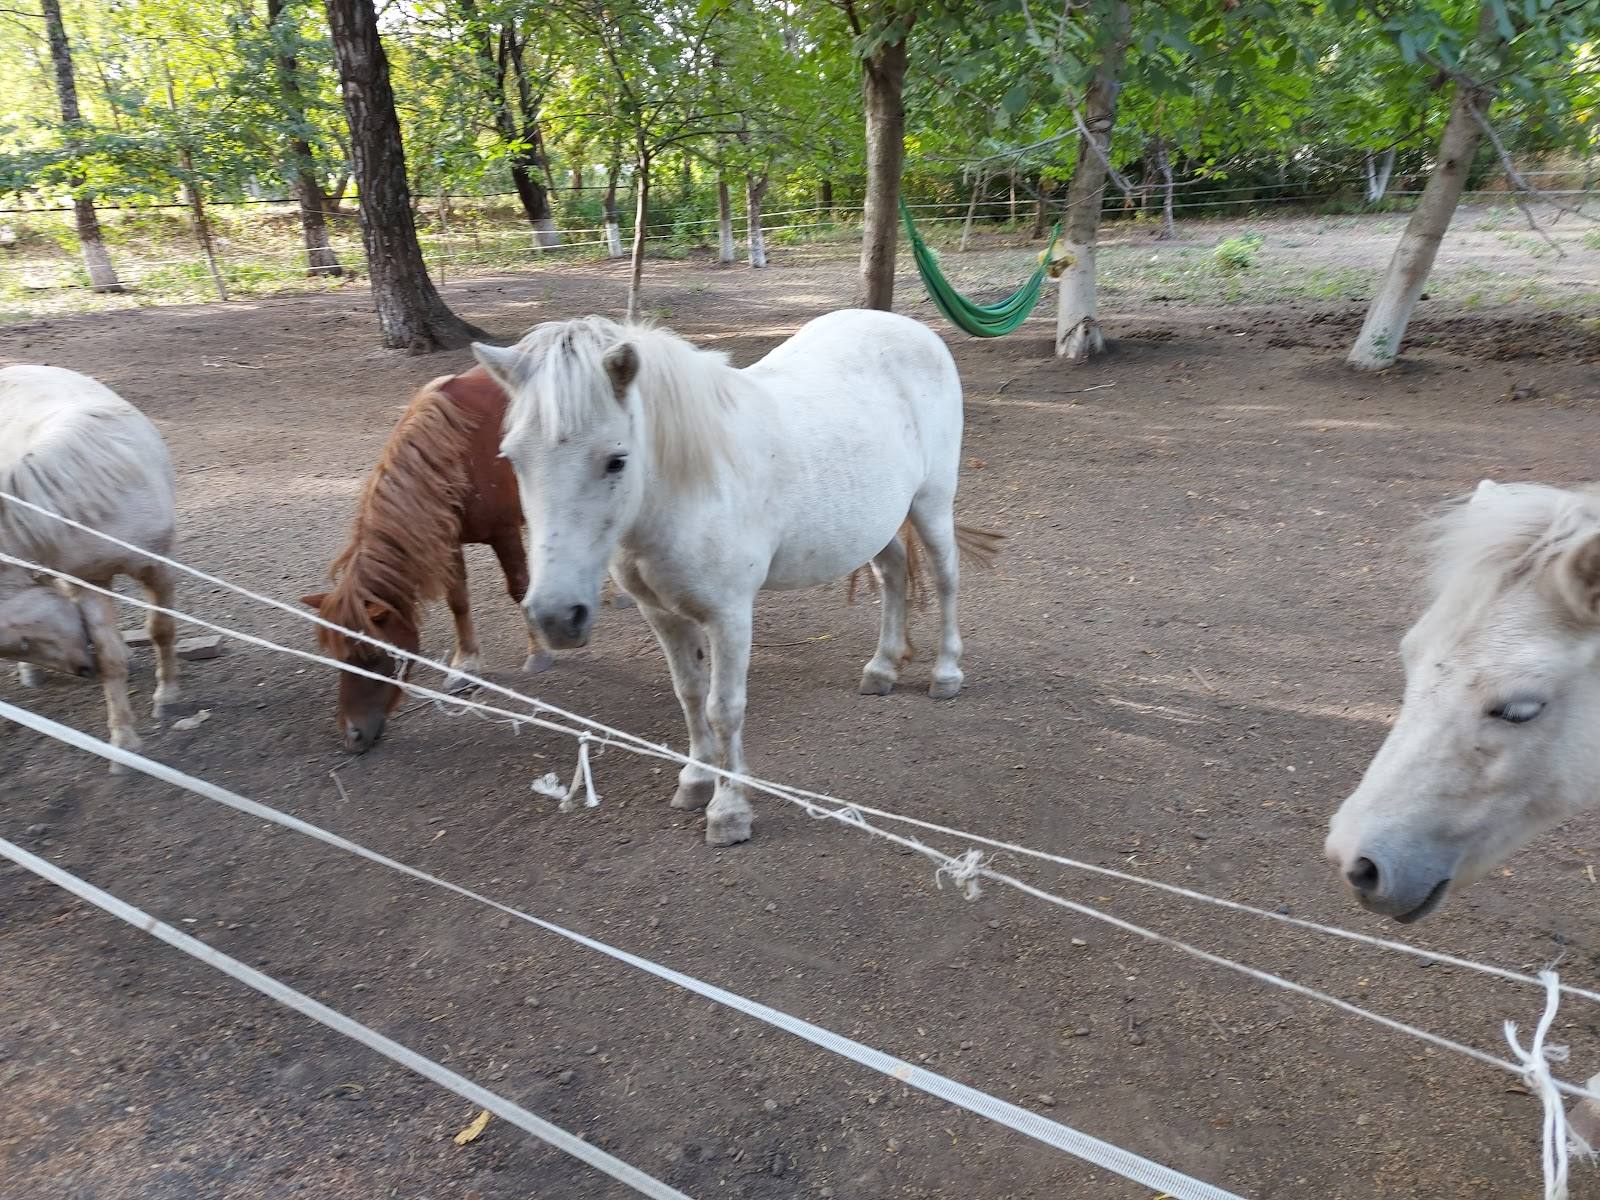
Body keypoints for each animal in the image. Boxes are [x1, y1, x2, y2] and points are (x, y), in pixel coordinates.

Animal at [0, 365, 181, 766]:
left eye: (22, 641)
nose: (82, 669)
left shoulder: (159, 567)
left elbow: (162, 629)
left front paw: (168, 697)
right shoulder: (88, 580)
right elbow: (109, 655)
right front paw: (124, 743)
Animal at [302, 366, 551, 753]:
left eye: (372, 656)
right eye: (338, 657)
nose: (353, 735)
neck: (458, 451)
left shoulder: (504, 532)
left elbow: (519, 589)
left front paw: (537, 653)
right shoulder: (447, 540)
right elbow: (458, 601)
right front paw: (465, 666)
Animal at [474, 310, 999, 846]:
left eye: (616, 460)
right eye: (512, 459)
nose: (556, 617)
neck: (684, 486)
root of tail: (913, 328)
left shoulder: (728, 615)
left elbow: (722, 707)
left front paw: (729, 812)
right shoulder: (661, 613)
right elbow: (688, 693)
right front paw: (694, 780)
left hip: (932, 503)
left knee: (946, 579)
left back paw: (946, 674)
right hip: (874, 523)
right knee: (893, 574)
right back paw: (882, 669)